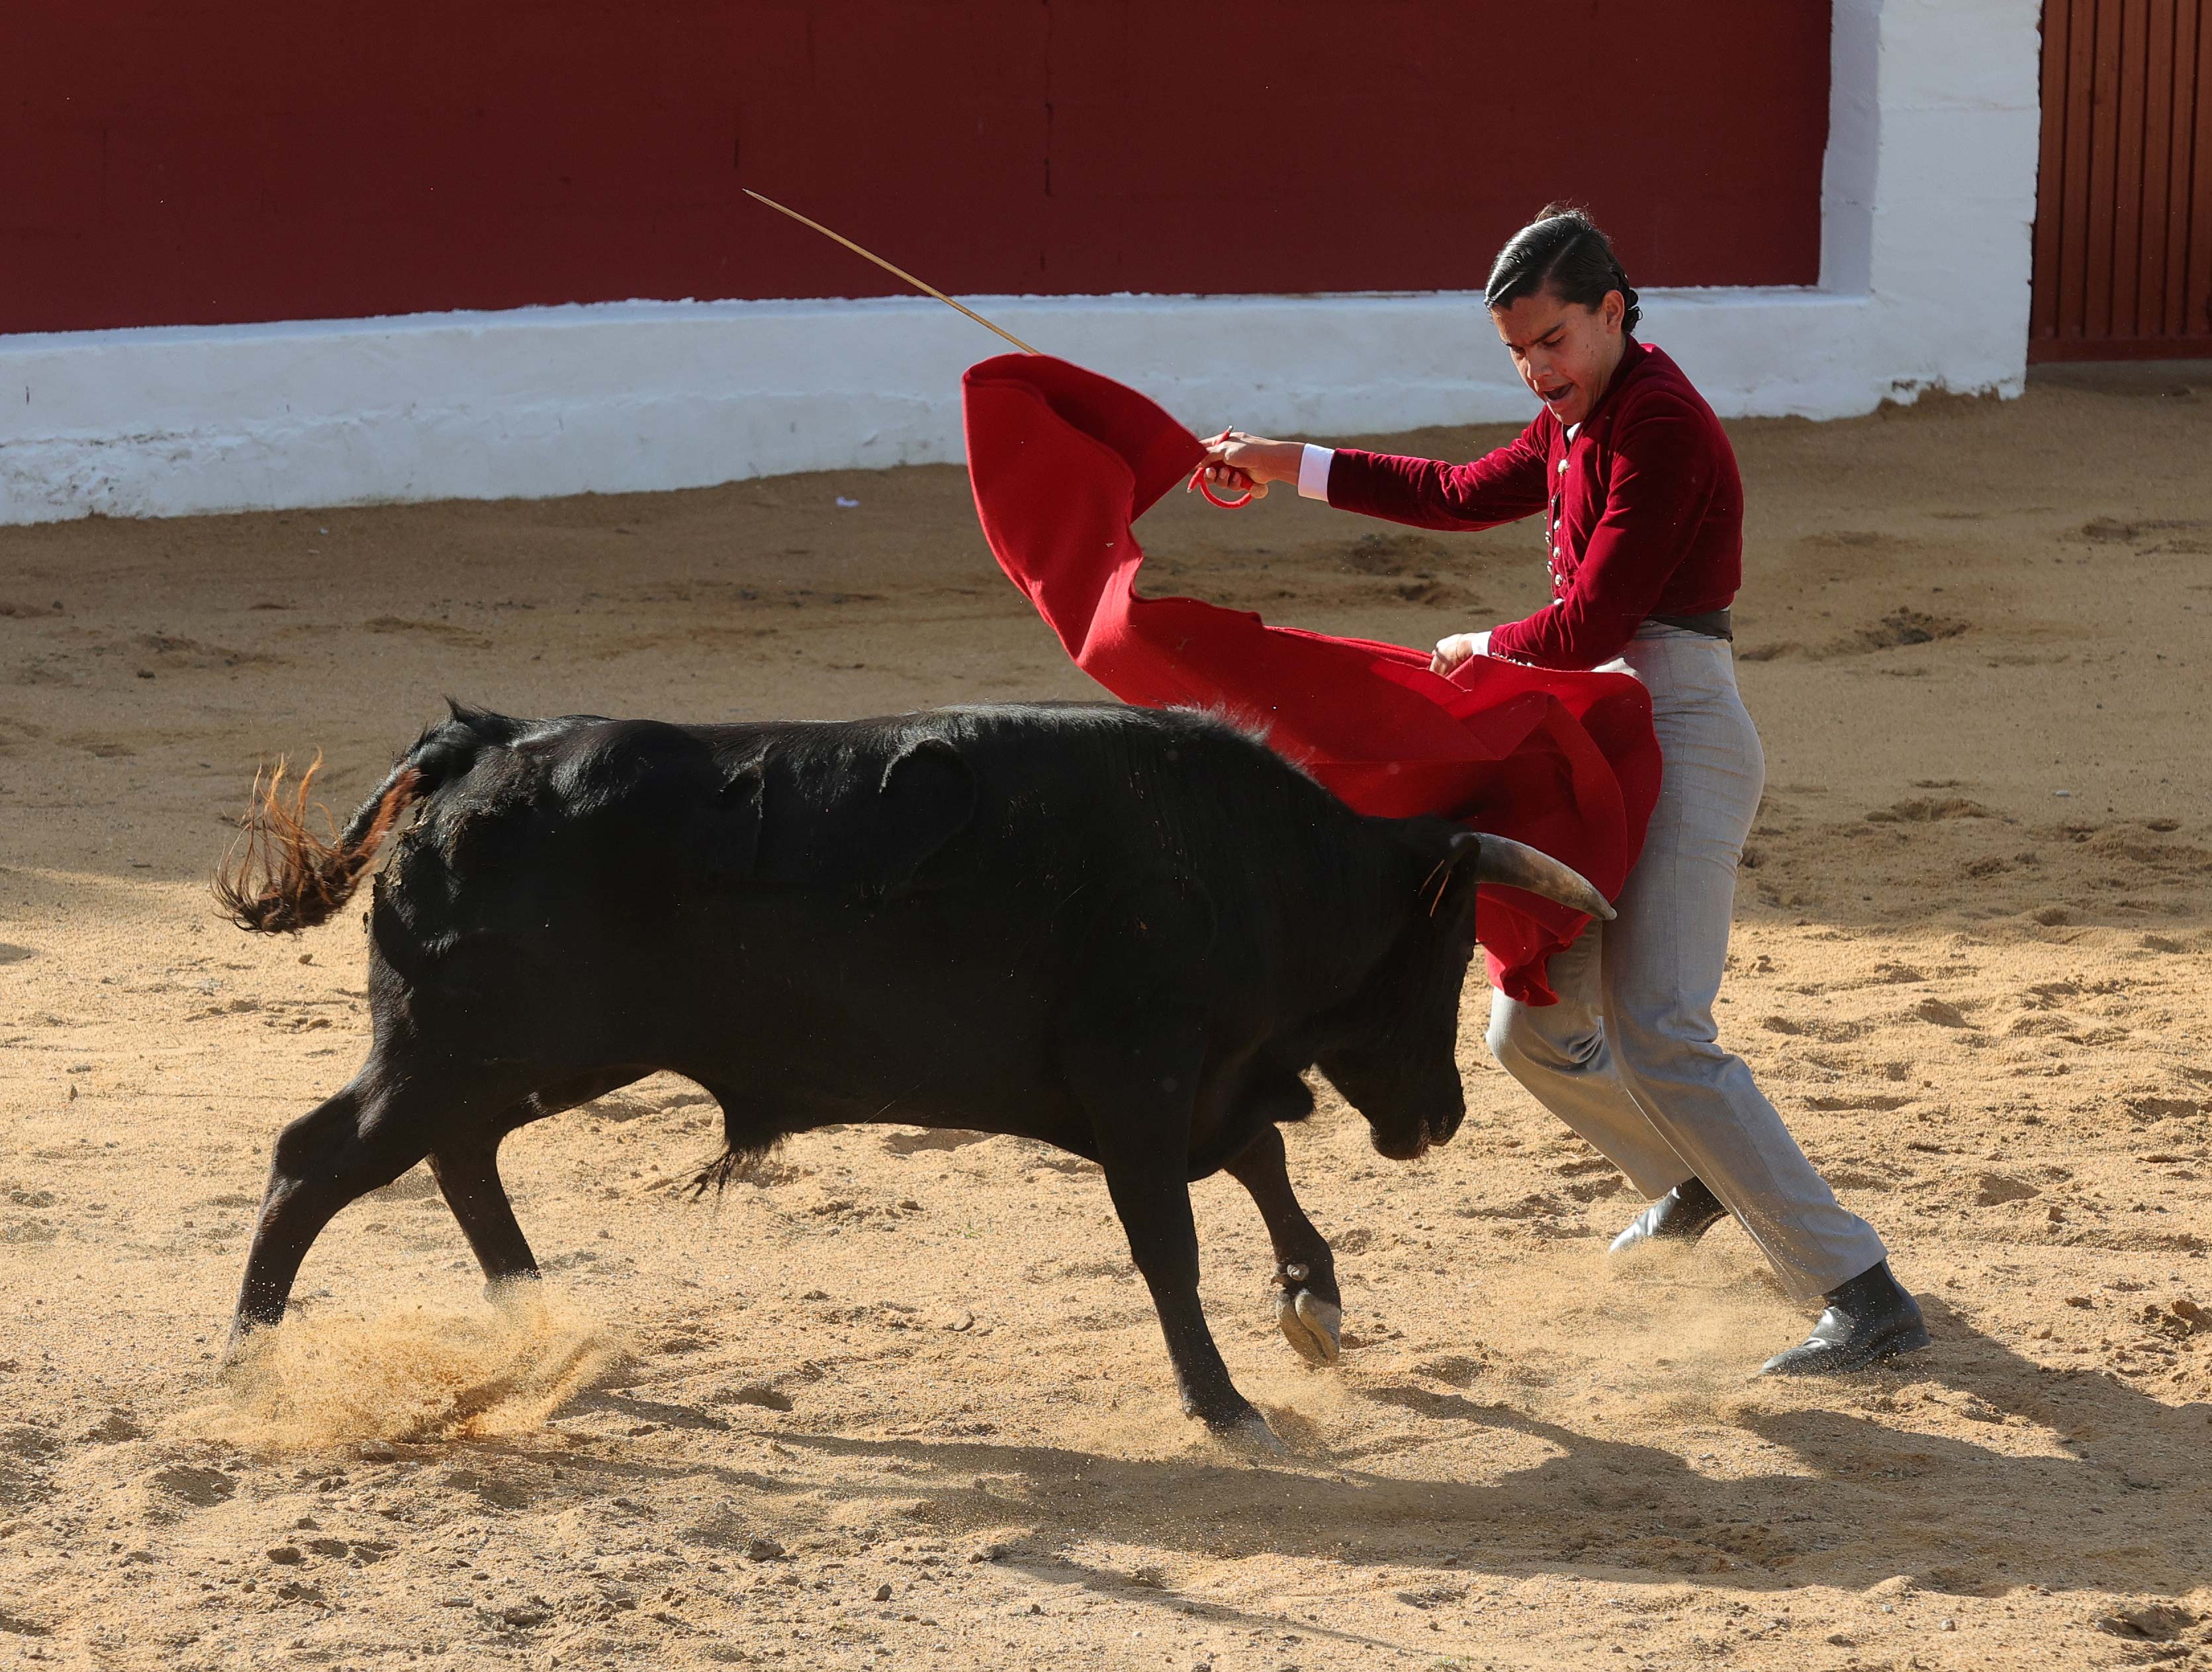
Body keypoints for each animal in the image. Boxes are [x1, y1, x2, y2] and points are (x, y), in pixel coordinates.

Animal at [220, 698, 1610, 1442]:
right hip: (456, 1046)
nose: (1440, 1118)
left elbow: (1259, 1159)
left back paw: (539, 1321)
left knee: (454, 1155)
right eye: (1446, 953)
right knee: (315, 1158)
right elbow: (1171, 1240)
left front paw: (1312, 1305)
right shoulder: (1142, 1079)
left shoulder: (1191, 1083)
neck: (1252, 866)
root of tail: (481, 748)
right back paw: (248, 1364)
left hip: (516, 1056)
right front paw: (1224, 1404)